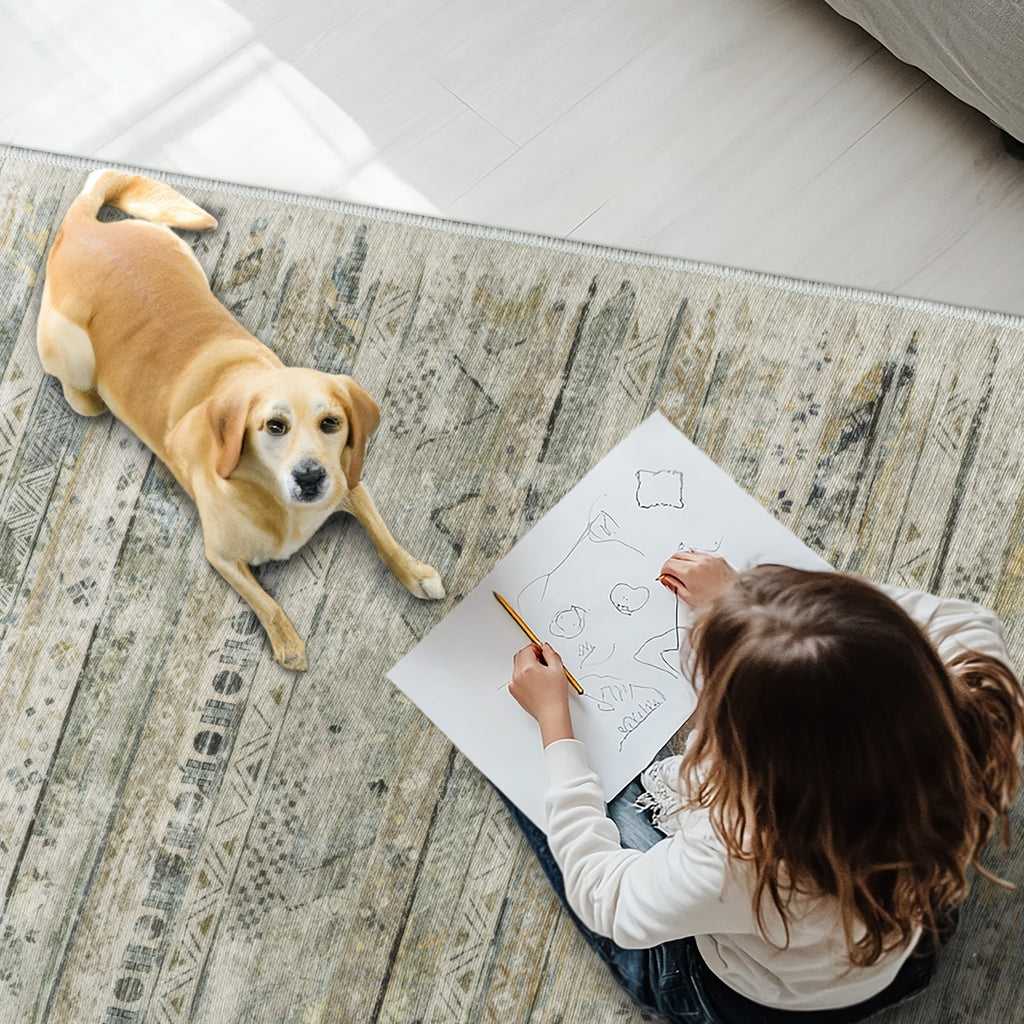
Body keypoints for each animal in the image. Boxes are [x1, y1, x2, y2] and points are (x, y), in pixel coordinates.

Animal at [37, 172, 444, 671]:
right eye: (274, 426)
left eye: (331, 423)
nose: (311, 478)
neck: (275, 500)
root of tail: (82, 228)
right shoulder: (222, 555)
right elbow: (266, 602)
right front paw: (288, 644)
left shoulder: (351, 482)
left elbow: (383, 534)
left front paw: (415, 572)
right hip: (73, 365)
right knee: (79, 393)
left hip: (185, 259)